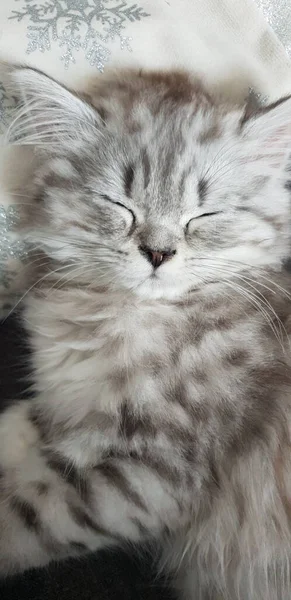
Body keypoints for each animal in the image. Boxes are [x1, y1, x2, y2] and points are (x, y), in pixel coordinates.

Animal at [0, 68, 291, 596]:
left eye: (203, 216)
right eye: (120, 204)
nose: (158, 252)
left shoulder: (157, 469)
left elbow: (29, 514)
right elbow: (36, 419)